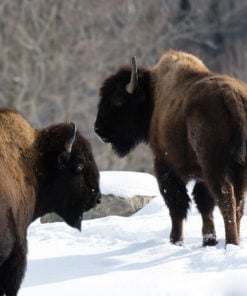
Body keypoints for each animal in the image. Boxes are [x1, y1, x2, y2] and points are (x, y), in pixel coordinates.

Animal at [95, 50, 247, 247]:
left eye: (118, 100)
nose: (98, 129)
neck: (153, 96)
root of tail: (232, 96)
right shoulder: (201, 177)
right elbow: (203, 204)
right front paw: (208, 240)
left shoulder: (165, 166)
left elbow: (177, 204)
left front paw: (175, 240)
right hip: (238, 169)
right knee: (238, 204)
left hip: (215, 166)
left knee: (226, 199)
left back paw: (231, 242)